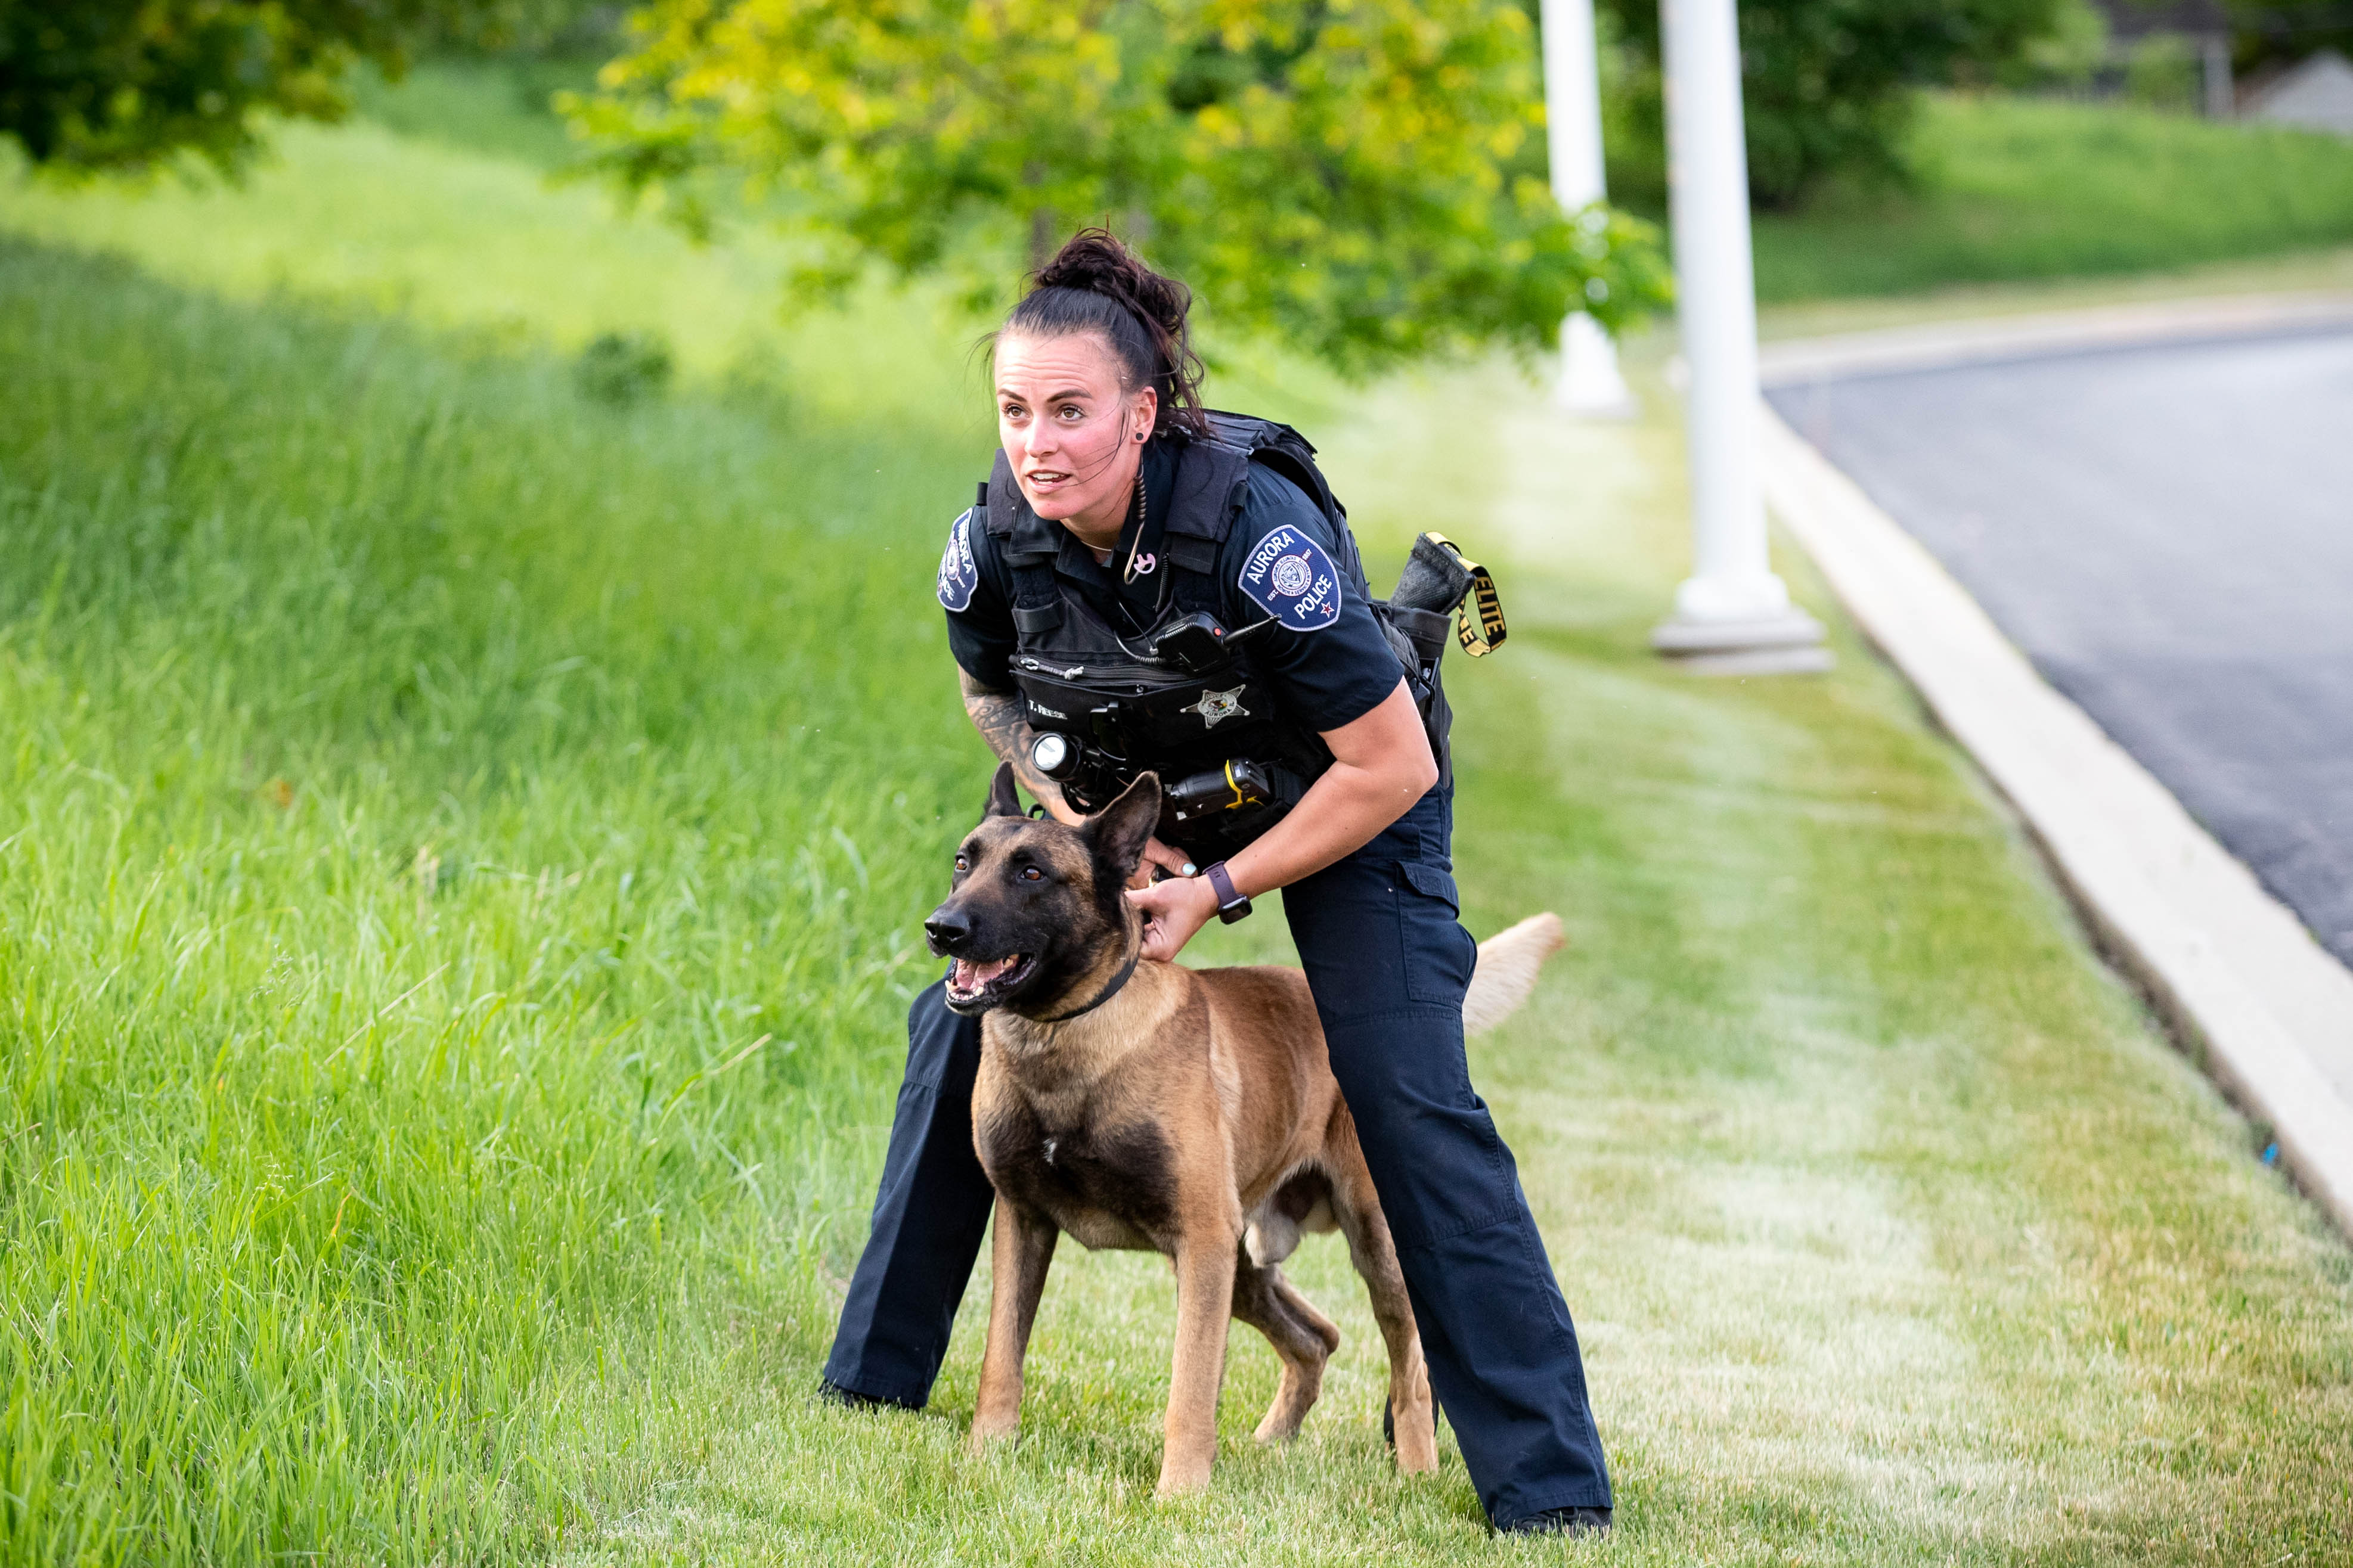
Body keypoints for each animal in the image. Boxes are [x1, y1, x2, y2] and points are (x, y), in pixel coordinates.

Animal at [922, 766, 1562, 1504]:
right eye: (963, 863)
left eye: (1031, 873)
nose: (941, 928)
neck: (1070, 1033)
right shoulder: (1025, 1223)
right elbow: (1001, 1358)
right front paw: (984, 1458)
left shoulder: (1200, 1240)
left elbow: (1190, 1388)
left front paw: (1178, 1496)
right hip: (1244, 1263)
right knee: (1318, 1338)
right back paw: (1272, 1443)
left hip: (1369, 1248)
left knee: (1411, 1365)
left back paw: (1416, 1470)